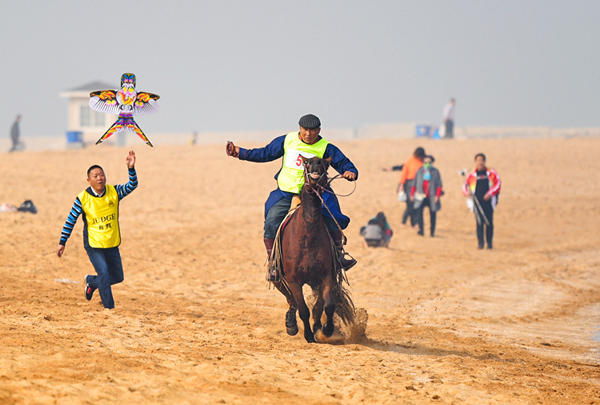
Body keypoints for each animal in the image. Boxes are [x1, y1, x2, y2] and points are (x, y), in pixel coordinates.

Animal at [274, 155, 354, 340]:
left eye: (324, 164)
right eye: (306, 163)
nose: (316, 164)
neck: (307, 238)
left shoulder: (327, 276)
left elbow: (327, 306)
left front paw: (326, 329)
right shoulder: (294, 280)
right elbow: (303, 309)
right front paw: (309, 335)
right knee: (292, 301)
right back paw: (292, 325)